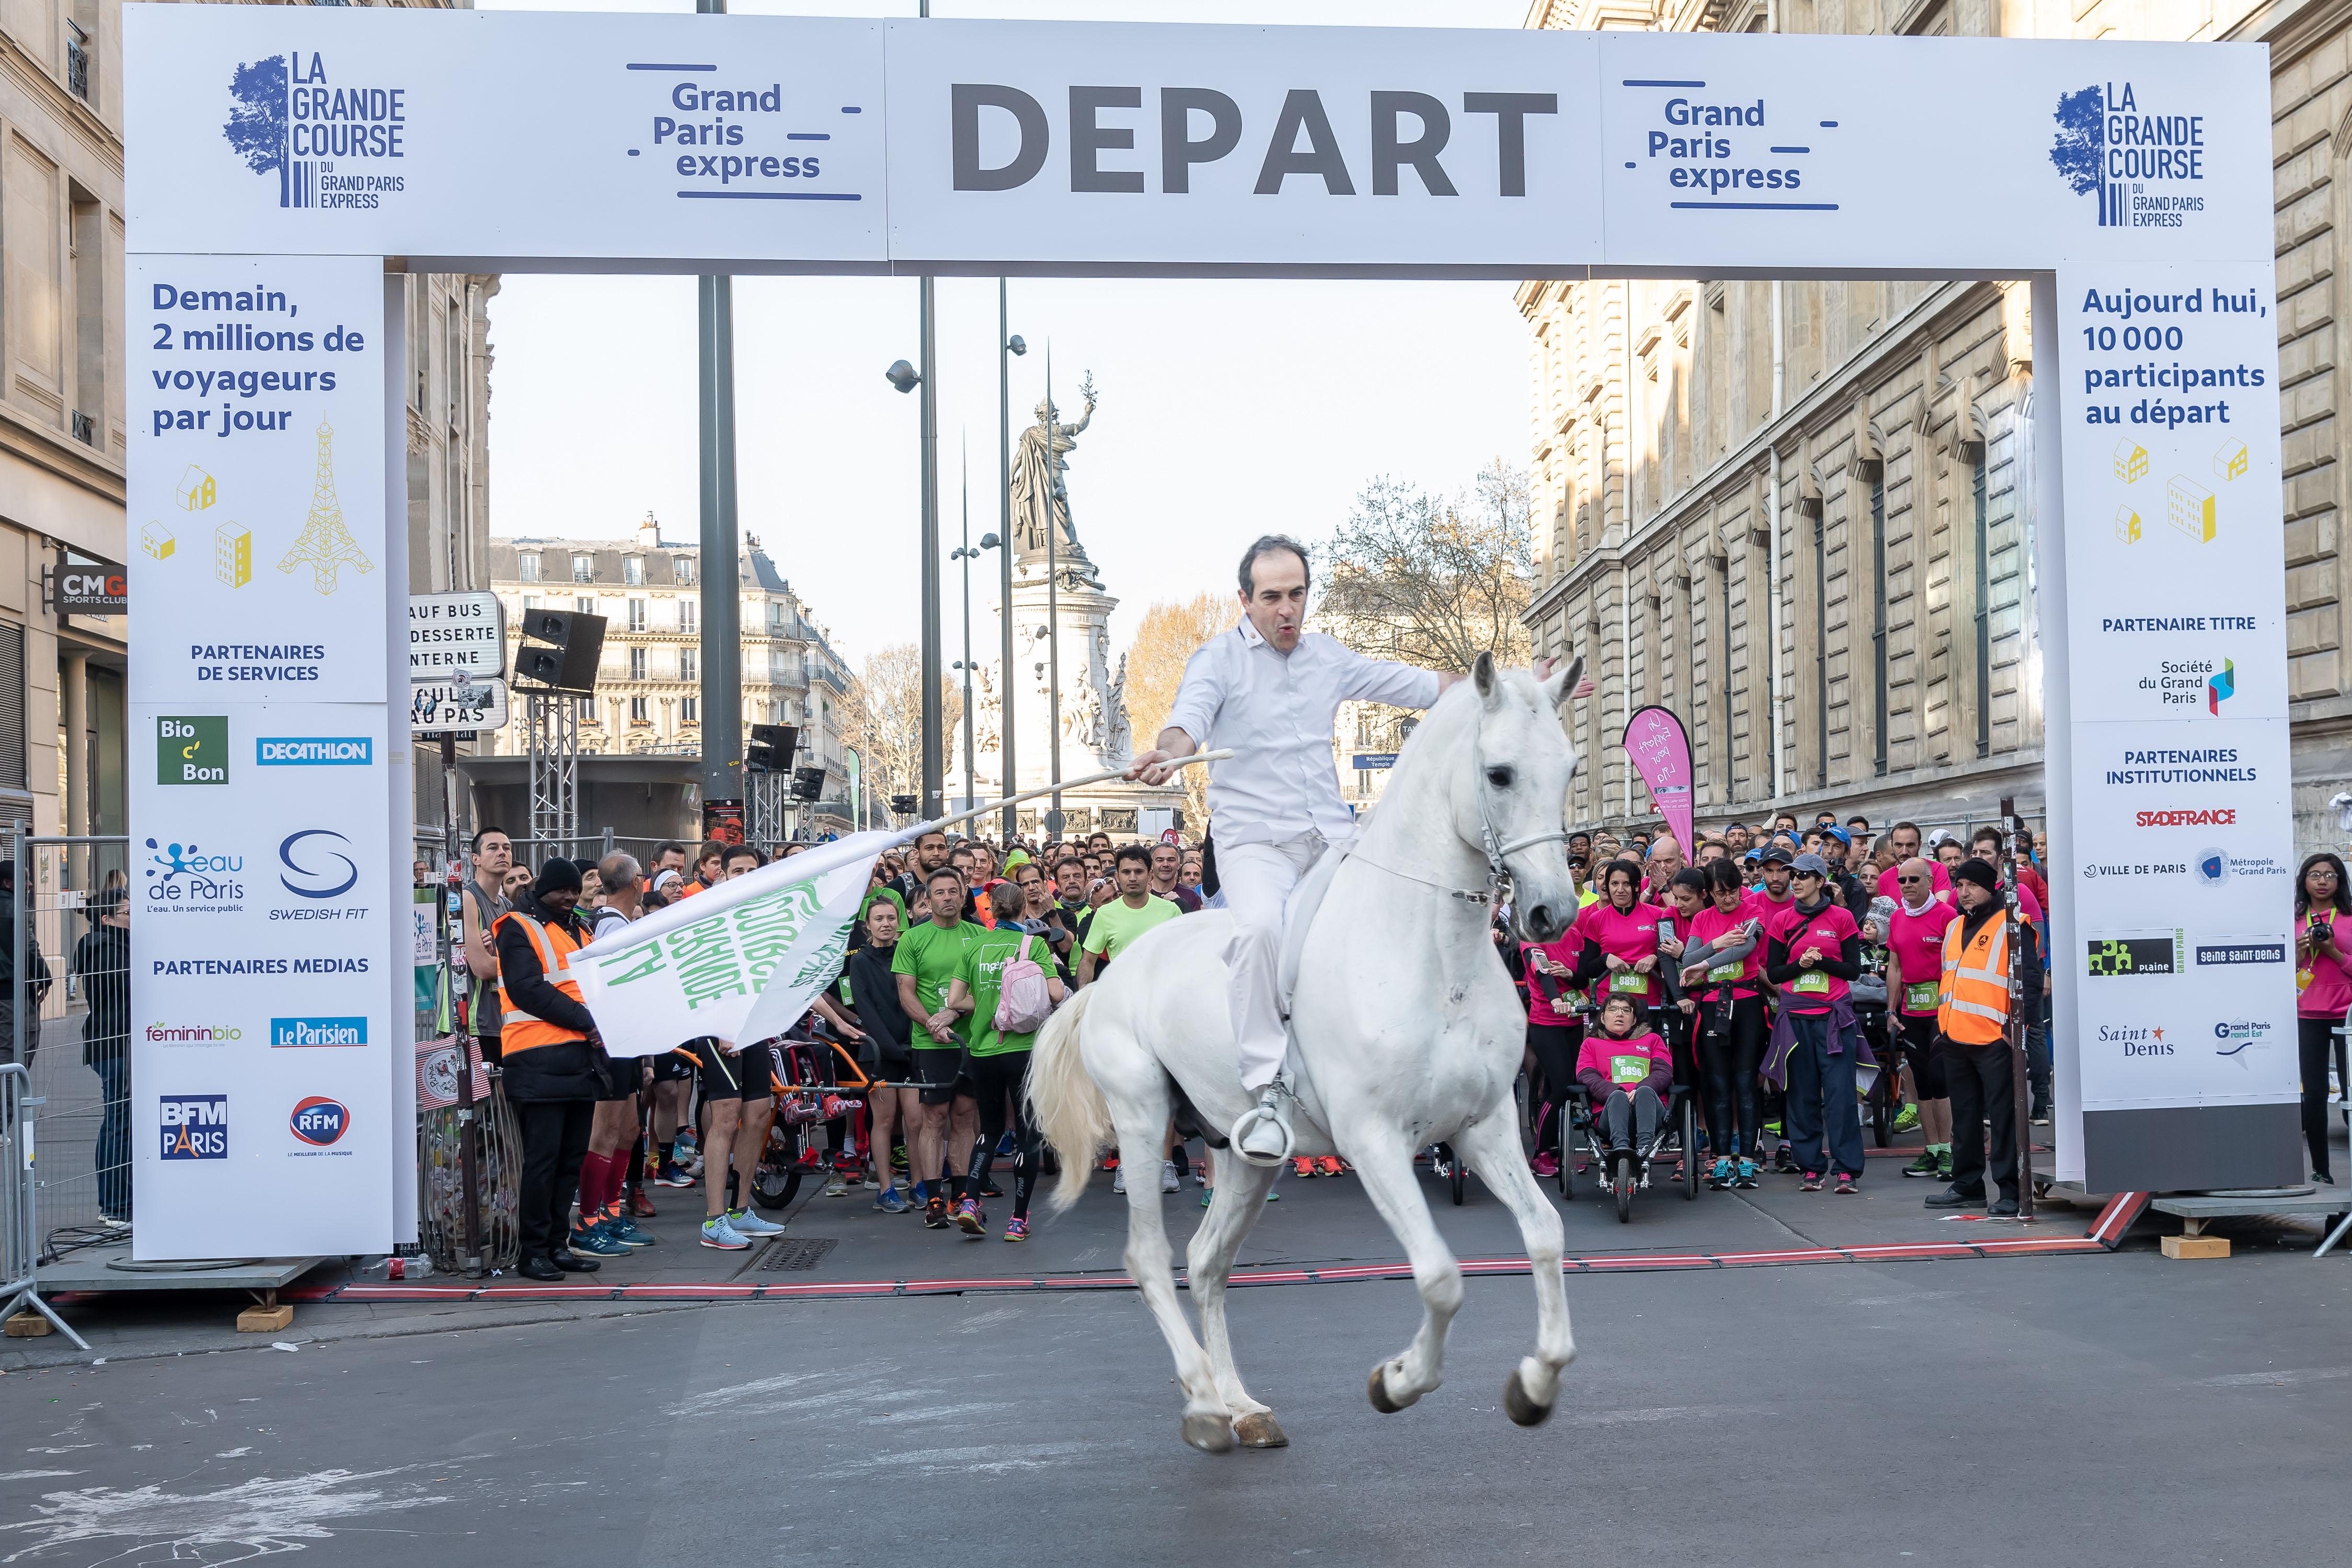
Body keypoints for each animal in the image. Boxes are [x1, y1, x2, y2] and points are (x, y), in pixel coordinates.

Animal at [1025, 649, 1581, 1448]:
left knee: (1208, 1263)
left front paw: (1536, 1384)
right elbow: (1441, 1277)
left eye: (1569, 769)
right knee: (1150, 1258)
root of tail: (1107, 976)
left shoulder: (1487, 1128)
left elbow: (1545, 1234)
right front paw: (1398, 1382)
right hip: (1140, 1118)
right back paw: (1203, 1403)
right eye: (1499, 773)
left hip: (1240, 1151)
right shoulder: (1376, 1139)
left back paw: (1241, 1406)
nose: (1551, 913)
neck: (1434, 957)